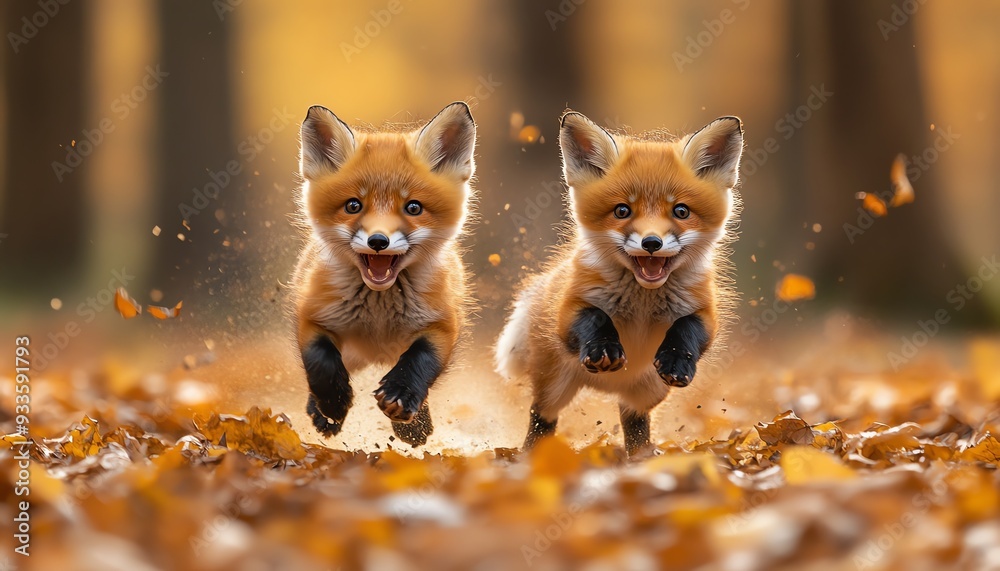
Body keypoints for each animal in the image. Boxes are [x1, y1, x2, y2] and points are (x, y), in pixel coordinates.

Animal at [292, 102, 476, 447]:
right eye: (353, 205)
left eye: (413, 208)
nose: (378, 241)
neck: (378, 311)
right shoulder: (312, 315)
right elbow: (320, 362)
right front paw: (333, 404)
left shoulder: (443, 324)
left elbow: (420, 360)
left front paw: (403, 400)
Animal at [495, 111, 743, 455]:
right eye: (622, 210)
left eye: (681, 211)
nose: (651, 243)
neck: (643, 300)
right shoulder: (568, 311)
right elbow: (596, 315)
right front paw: (605, 347)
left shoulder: (704, 312)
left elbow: (687, 328)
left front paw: (677, 359)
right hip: (554, 386)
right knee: (542, 418)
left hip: (647, 391)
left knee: (634, 422)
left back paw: (640, 458)